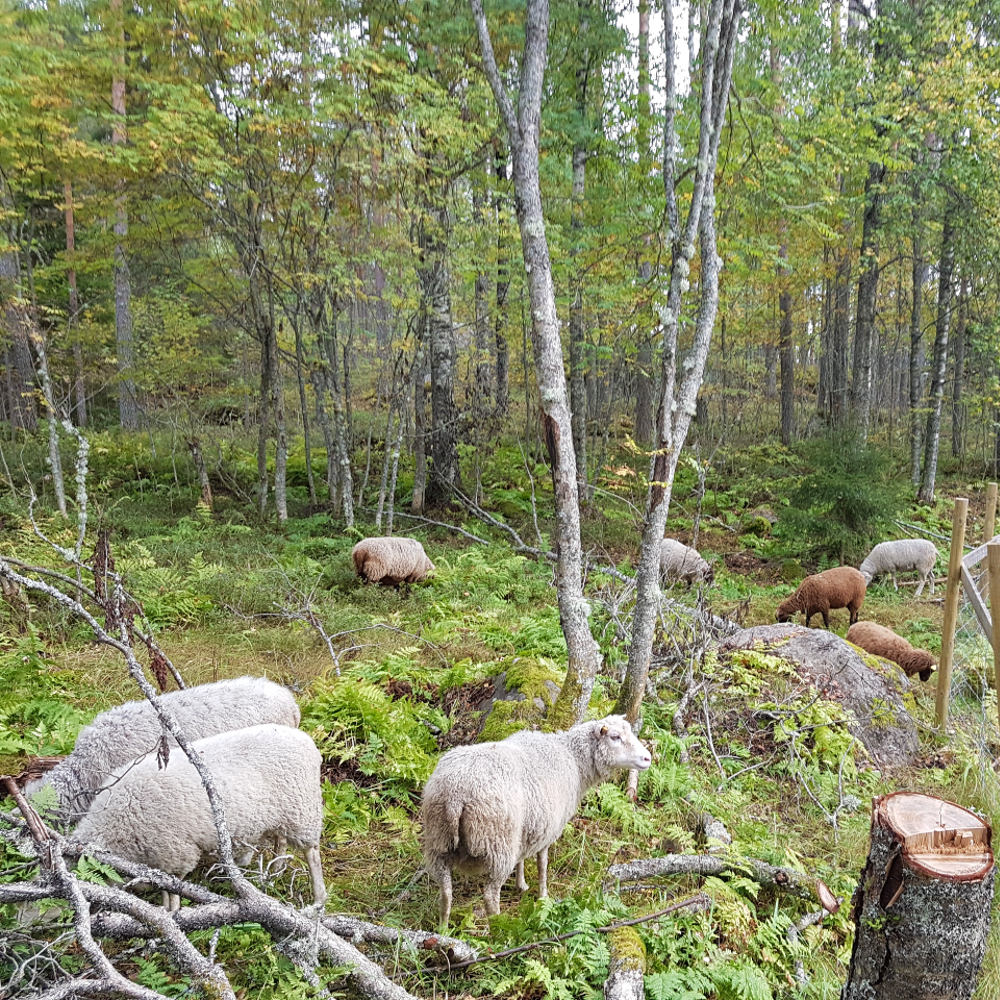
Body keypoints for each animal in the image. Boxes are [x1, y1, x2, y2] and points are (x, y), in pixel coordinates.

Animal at [71, 724, 328, 912]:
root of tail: (307, 741)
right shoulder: (160, 858)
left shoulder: (175, 853)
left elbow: (172, 889)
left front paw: (172, 913)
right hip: (281, 815)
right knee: (280, 841)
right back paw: (274, 872)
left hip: (302, 810)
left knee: (312, 853)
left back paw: (317, 899)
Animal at [420, 716, 648, 924]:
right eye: (615, 737)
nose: (648, 758)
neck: (573, 759)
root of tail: (456, 795)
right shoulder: (548, 827)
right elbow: (542, 864)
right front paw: (543, 896)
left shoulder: (529, 825)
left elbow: (522, 857)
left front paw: (521, 884)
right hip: (497, 844)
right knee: (490, 895)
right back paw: (498, 929)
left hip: (438, 841)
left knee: (445, 892)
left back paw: (443, 929)